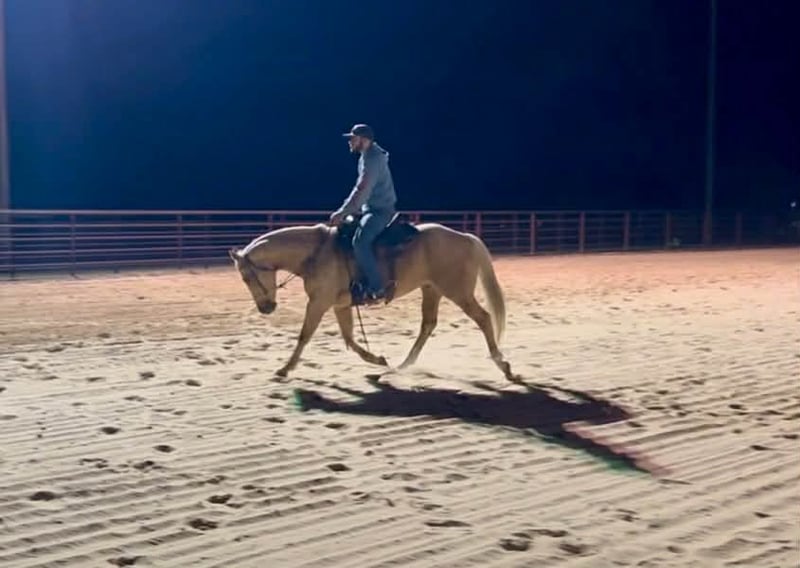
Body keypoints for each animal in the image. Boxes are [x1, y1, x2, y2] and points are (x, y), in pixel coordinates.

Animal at [228, 214, 515, 380]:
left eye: (246, 277)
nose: (266, 308)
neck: (317, 253)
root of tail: (465, 237)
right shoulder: (339, 305)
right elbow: (349, 339)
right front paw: (377, 359)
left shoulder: (319, 302)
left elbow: (305, 335)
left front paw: (285, 368)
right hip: (431, 289)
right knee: (428, 324)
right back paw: (403, 364)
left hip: (457, 291)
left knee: (483, 318)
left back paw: (503, 365)